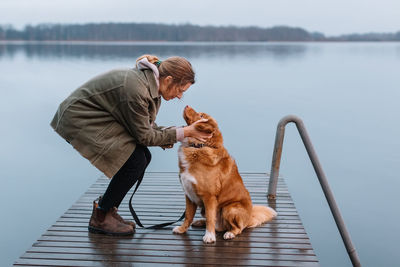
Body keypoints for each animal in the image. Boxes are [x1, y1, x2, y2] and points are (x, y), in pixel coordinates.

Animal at [173, 105, 276, 244]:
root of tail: (249, 217)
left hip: (229, 208)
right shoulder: (189, 194)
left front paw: (209, 236)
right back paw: (200, 222)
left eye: (201, 116)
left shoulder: (209, 196)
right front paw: (182, 229)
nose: (187, 105)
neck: (198, 147)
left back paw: (230, 233)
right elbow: (188, 216)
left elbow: (211, 218)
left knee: (237, 228)